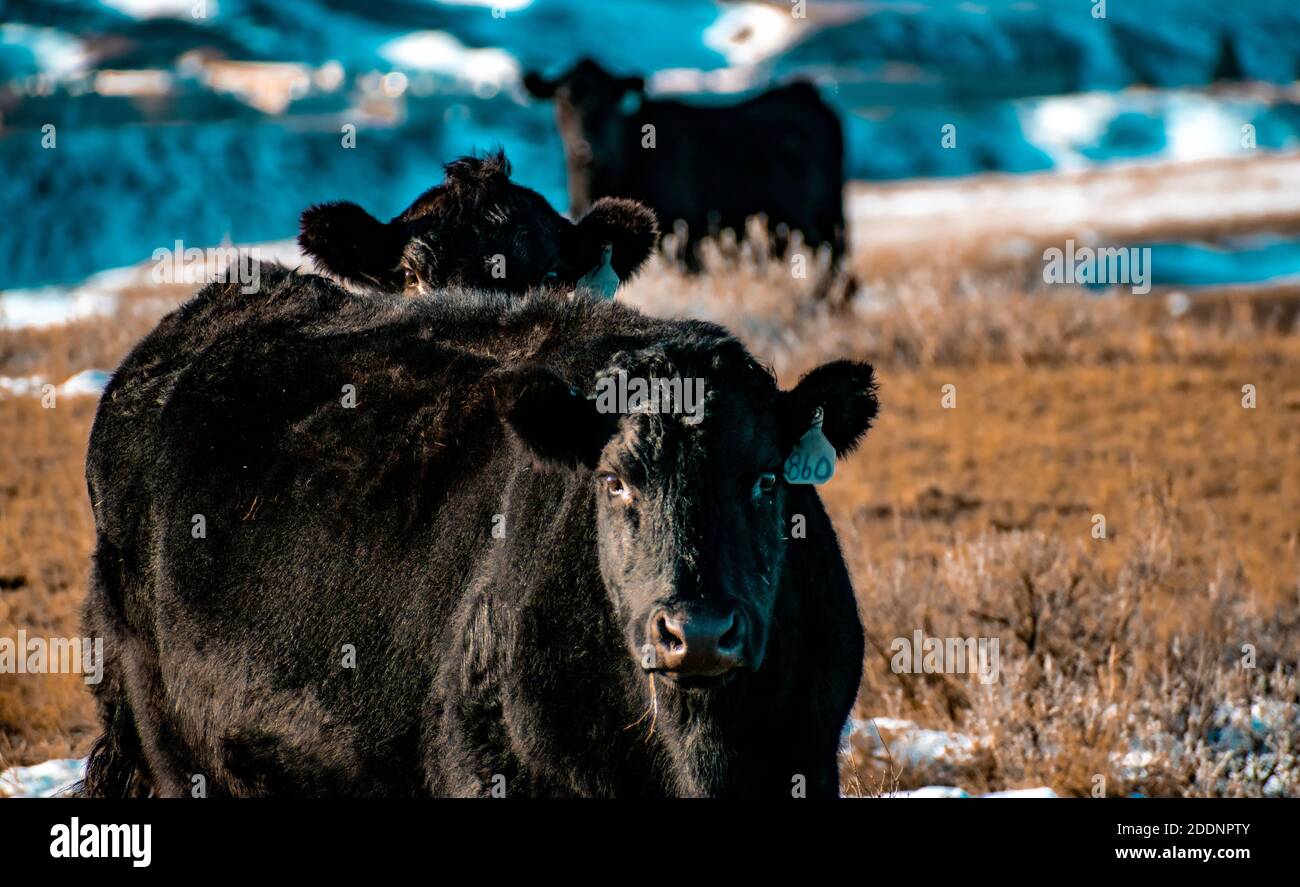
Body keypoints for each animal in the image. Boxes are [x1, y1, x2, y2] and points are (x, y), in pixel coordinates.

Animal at [524, 59, 848, 277]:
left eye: (612, 100)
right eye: (563, 99)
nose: (587, 149)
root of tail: (806, 94)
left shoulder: (688, 230)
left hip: (811, 220)